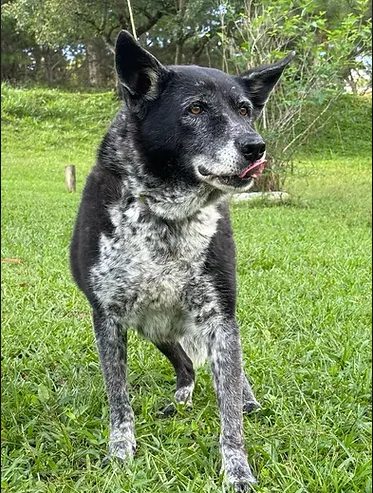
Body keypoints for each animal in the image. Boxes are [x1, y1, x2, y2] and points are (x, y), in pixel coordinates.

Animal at [70, 32, 294, 490]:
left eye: (244, 110)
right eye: (195, 109)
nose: (256, 147)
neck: (166, 215)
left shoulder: (221, 318)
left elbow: (230, 410)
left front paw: (237, 470)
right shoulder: (108, 321)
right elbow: (118, 399)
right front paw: (120, 452)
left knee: (224, 372)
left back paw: (245, 399)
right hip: (155, 330)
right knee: (187, 364)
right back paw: (182, 396)